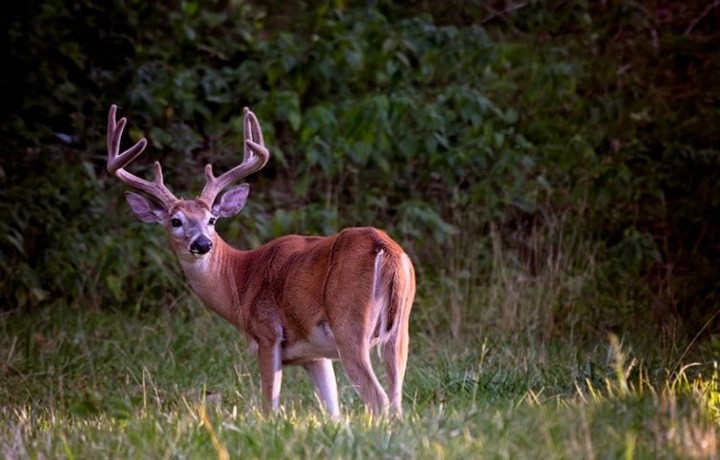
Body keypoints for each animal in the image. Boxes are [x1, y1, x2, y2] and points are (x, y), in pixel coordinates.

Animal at [103, 103, 414, 416]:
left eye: (212, 219)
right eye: (175, 221)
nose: (202, 243)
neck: (240, 279)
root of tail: (385, 248)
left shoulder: (267, 334)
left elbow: (269, 407)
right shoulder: (315, 355)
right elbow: (333, 411)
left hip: (349, 323)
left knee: (378, 398)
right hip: (400, 330)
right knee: (396, 399)